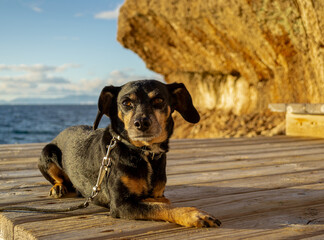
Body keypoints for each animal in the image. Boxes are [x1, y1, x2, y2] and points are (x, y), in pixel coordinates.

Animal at [37, 79, 220, 228]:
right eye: (126, 102)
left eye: (159, 100)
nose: (142, 123)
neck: (144, 153)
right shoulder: (120, 204)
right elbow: (160, 207)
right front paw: (193, 214)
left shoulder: (157, 193)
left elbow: (160, 201)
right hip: (47, 153)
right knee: (59, 178)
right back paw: (58, 187)